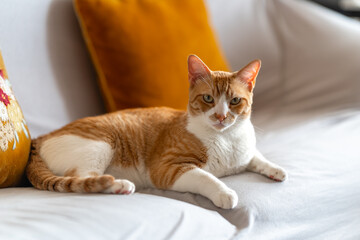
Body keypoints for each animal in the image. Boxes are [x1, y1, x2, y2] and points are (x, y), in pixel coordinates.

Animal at [26, 54, 286, 208]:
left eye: (234, 101)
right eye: (208, 99)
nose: (221, 117)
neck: (226, 139)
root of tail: (39, 138)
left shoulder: (246, 152)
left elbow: (256, 156)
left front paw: (275, 169)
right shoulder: (169, 168)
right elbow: (207, 178)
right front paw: (225, 193)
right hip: (101, 144)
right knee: (85, 178)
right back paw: (118, 185)